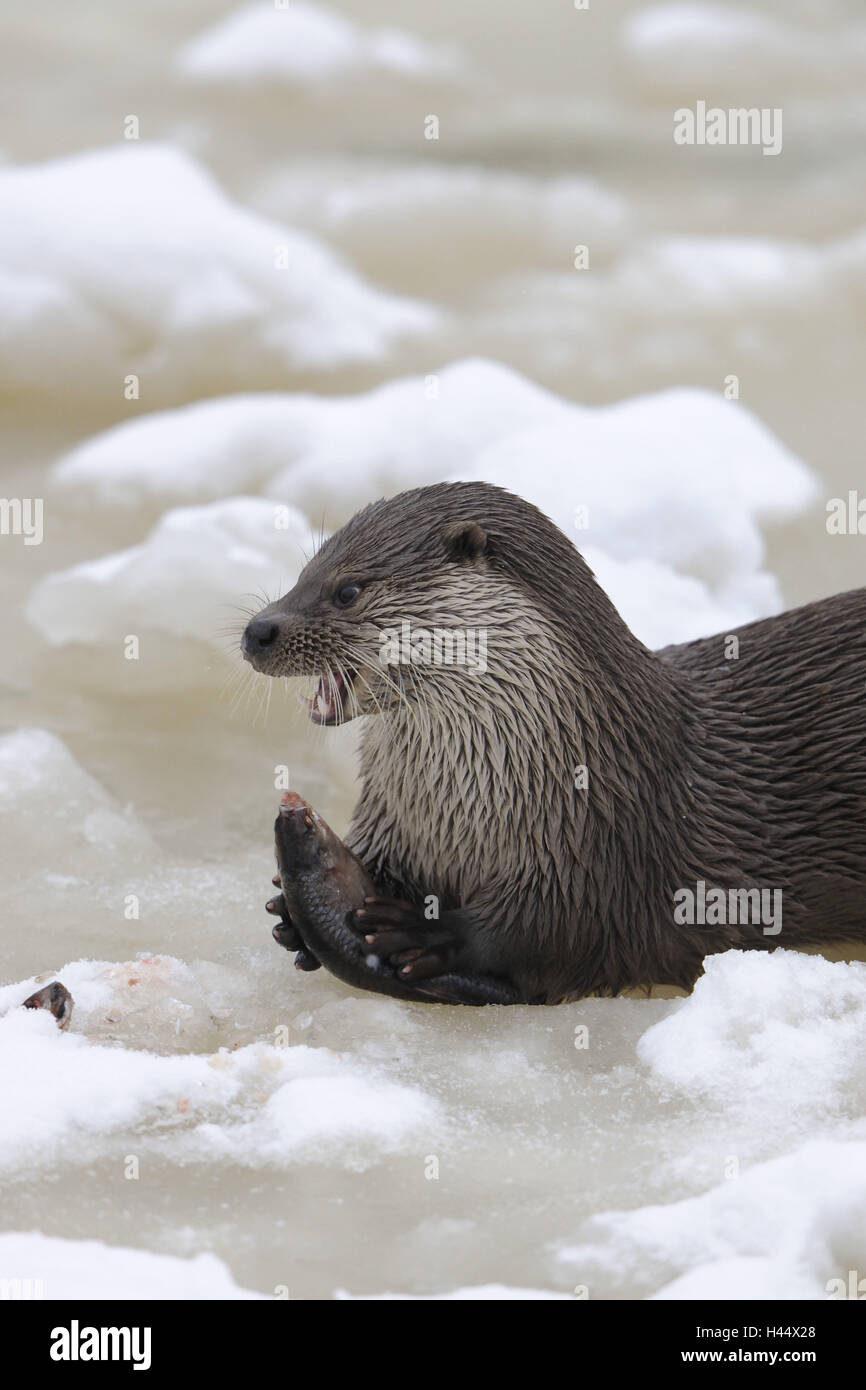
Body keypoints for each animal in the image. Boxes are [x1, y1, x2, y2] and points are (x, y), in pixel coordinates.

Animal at [240, 483, 866, 1006]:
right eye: (303, 572)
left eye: (347, 590)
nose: (257, 630)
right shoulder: (395, 819)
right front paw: (290, 910)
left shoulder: (606, 854)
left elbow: (552, 931)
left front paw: (430, 932)